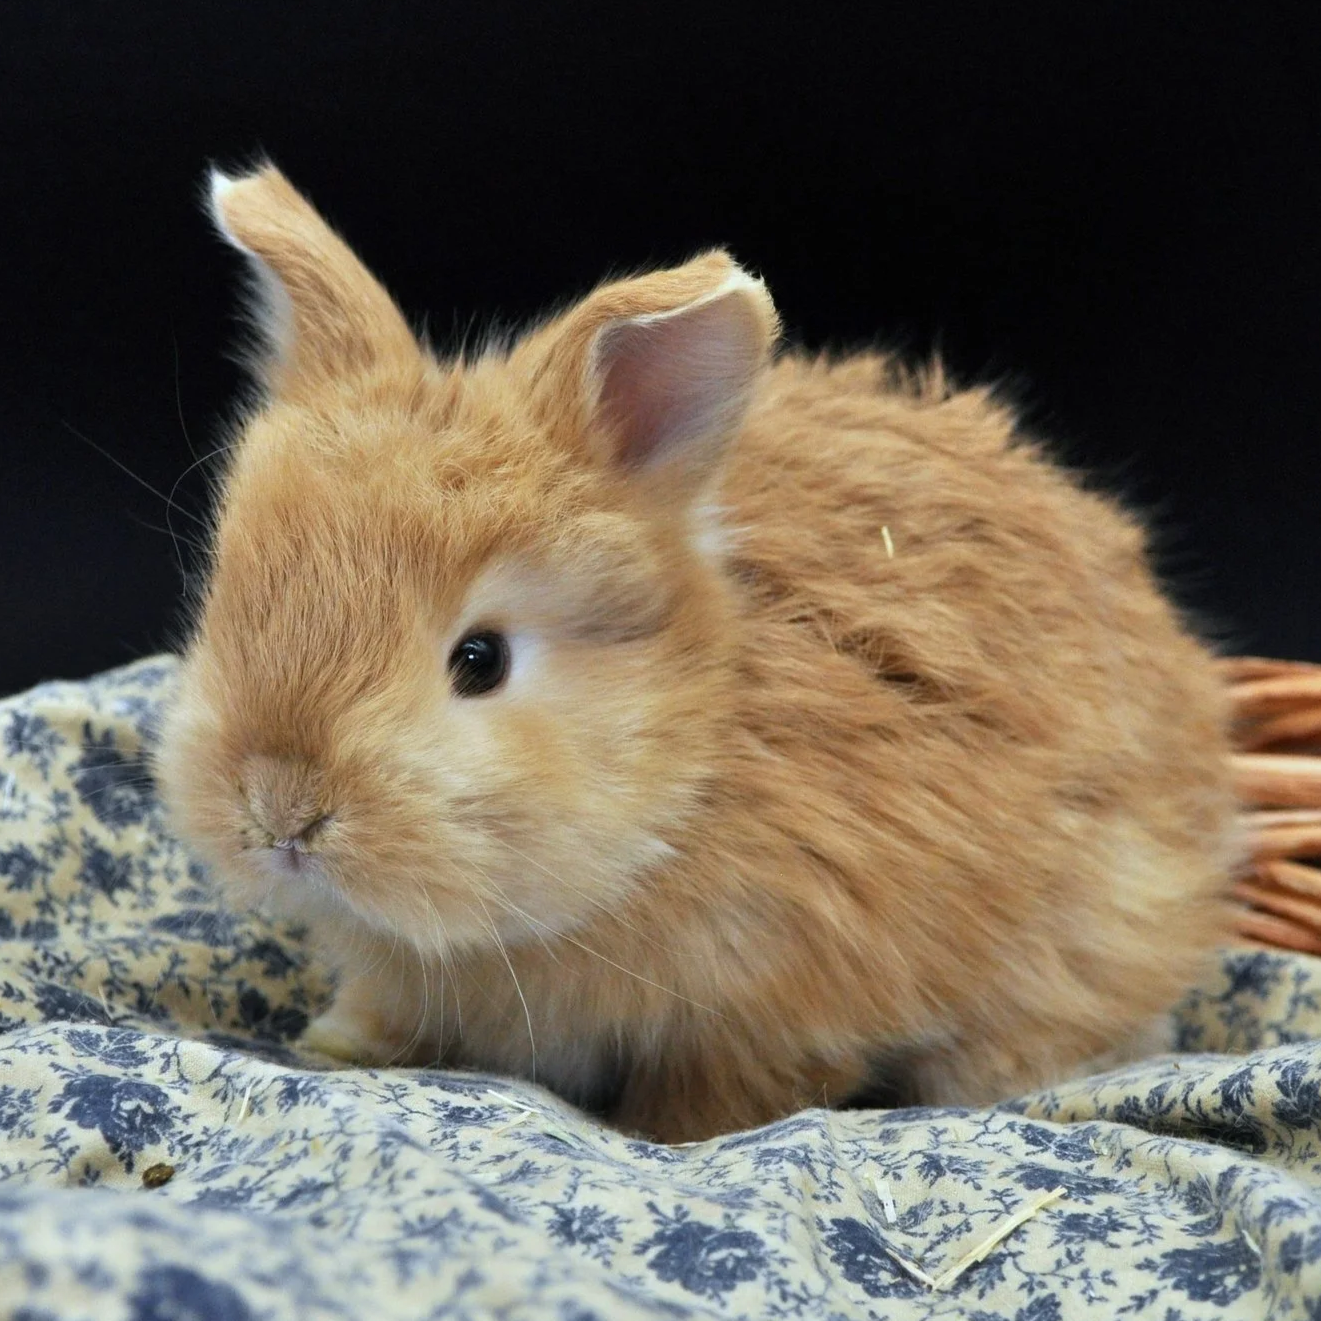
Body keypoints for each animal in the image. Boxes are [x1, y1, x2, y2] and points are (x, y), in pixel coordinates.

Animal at [155, 163, 1241, 1143]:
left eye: (480, 660)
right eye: (233, 602)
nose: (280, 808)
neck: (692, 771)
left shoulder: (781, 997)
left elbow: (734, 1084)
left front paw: (668, 1137)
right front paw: (336, 1040)